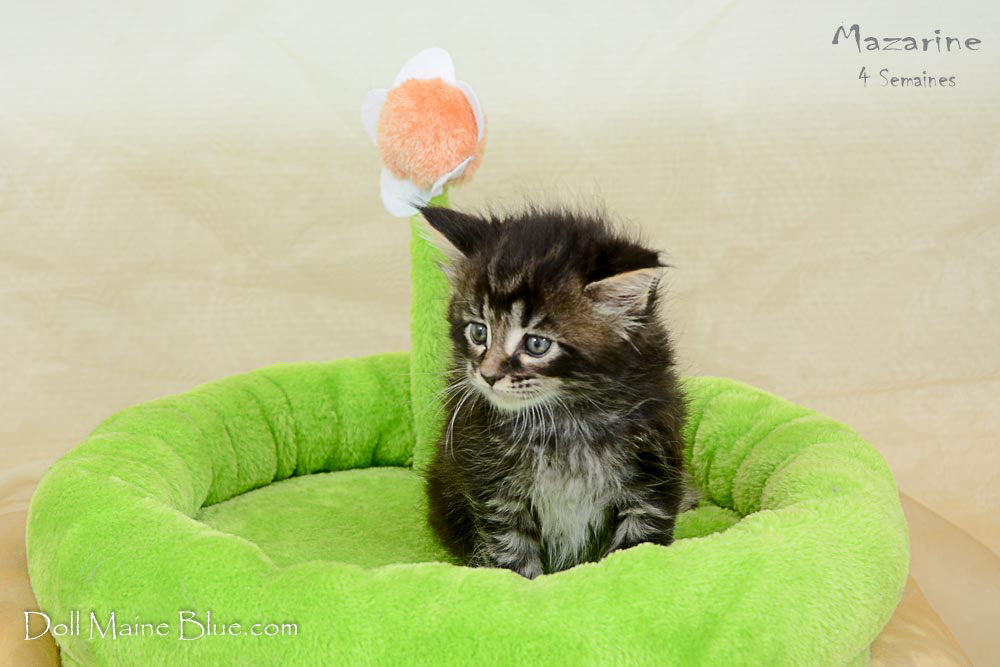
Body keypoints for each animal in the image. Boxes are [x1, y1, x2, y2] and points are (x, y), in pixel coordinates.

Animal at [421, 205, 692, 579]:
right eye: (478, 332)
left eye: (536, 344)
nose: (488, 375)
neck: (565, 418)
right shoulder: (495, 491)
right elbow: (512, 556)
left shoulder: (651, 477)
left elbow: (637, 550)